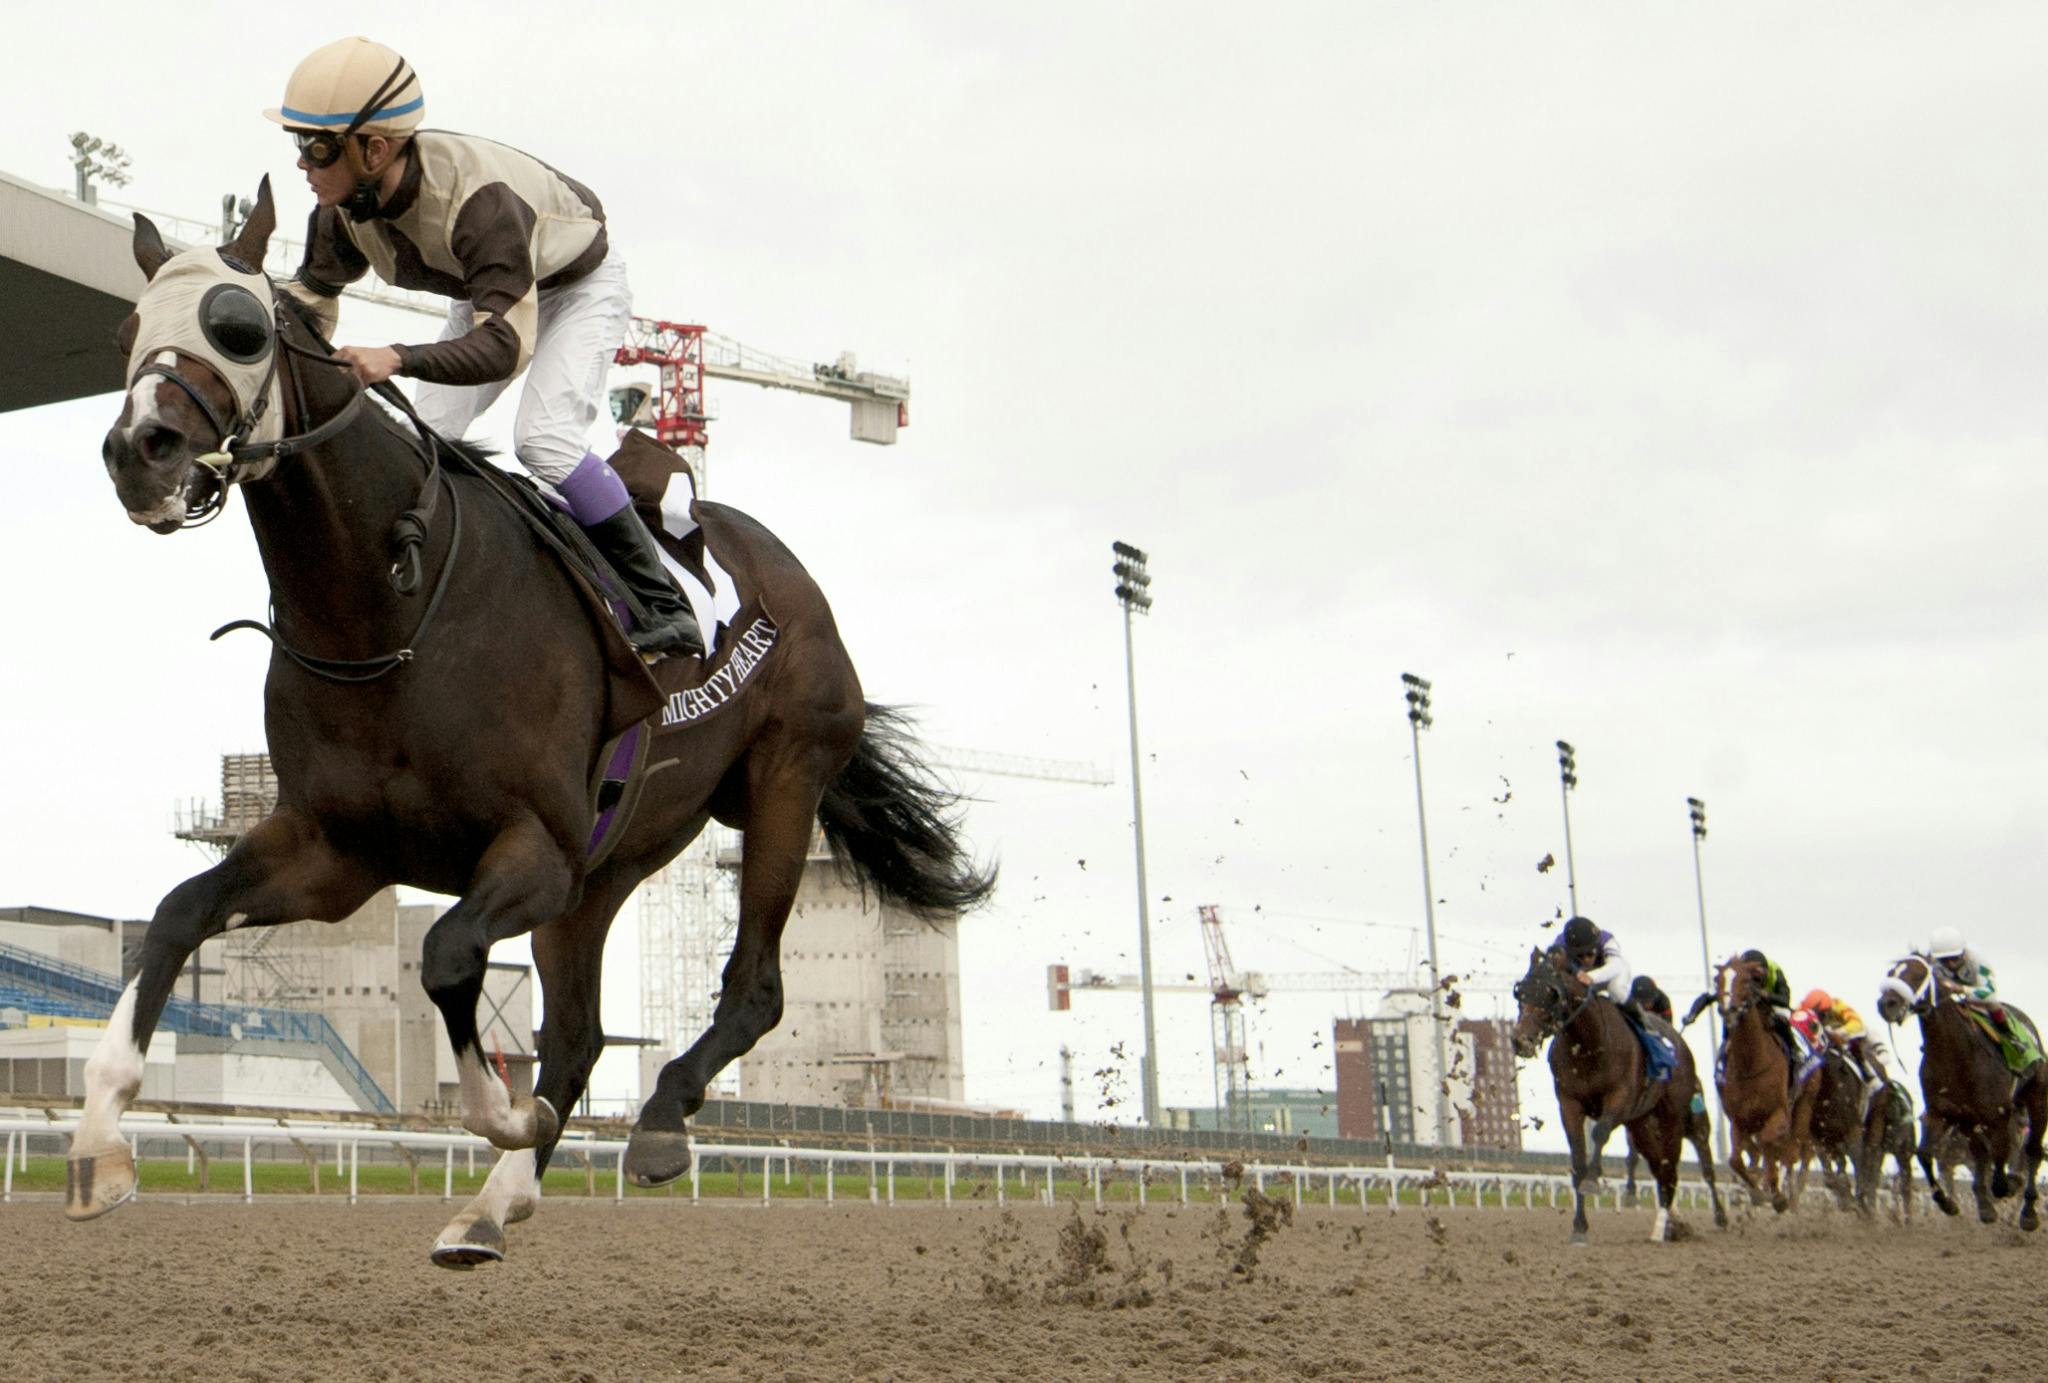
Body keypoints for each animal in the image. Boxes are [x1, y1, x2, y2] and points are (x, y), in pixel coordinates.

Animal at [78, 181, 993, 1267]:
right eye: (127, 330)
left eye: (239, 327)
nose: (139, 453)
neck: (390, 610)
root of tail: (779, 564)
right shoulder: (335, 851)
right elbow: (178, 913)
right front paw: (99, 1144)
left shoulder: (534, 845)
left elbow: (444, 955)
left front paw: (506, 1117)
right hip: (604, 871)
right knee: (582, 1031)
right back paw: (492, 1204)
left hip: (779, 784)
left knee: (755, 988)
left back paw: (654, 1122)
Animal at [1511, 946, 1723, 1243]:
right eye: (1520, 991)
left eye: (1551, 993)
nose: (1520, 1040)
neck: (1589, 1045)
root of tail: (1679, 1043)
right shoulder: (1569, 1103)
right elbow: (1577, 1160)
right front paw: (1579, 1227)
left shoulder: (1619, 1097)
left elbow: (1599, 1133)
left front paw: (1593, 1180)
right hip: (1641, 1124)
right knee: (1660, 1167)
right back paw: (1668, 1225)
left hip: (1678, 1119)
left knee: (1678, 1168)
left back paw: (1687, 1222)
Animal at [1876, 954, 2044, 1230]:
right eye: (1891, 973)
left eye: (1918, 974)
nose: (1886, 1004)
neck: (1955, 1053)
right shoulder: (1942, 1113)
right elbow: (1925, 1154)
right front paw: (1948, 1203)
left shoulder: (1998, 1116)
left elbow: (2001, 1163)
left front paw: (2009, 1186)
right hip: (1969, 1121)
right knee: (1981, 1154)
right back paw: (1986, 1205)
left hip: (2036, 1098)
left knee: (2032, 1151)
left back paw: (2027, 1212)